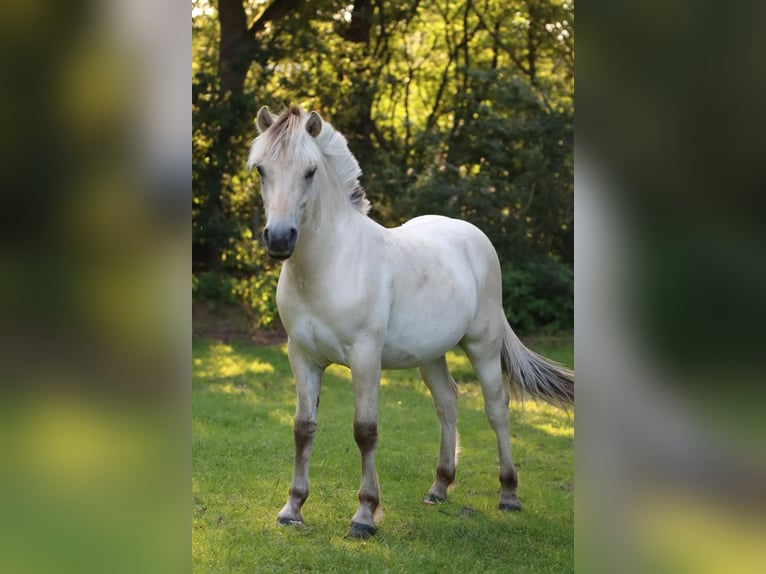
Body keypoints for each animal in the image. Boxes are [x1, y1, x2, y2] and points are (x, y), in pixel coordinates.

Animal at [248, 103, 576, 540]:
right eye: (261, 170)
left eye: (310, 171)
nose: (280, 239)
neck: (330, 264)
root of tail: (473, 235)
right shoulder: (301, 356)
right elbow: (303, 428)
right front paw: (293, 508)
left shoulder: (365, 356)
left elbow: (365, 431)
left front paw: (364, 515)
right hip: (431, 355)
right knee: (447, 403)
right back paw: (439, 487)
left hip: (483, 346)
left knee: (496, 408)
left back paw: (508, 495)